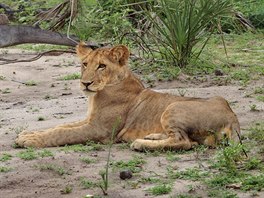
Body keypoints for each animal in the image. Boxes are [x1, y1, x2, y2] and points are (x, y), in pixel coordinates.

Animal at [15, 41, 240, 150]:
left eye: (102, 66)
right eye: (85, 64)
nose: (85, 83)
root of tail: (232, 117)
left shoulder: (100, 129)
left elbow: (62, 133)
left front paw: (29, 140)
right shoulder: (89, 119)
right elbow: (59, 126)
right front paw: (29, 134)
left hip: (173, 107)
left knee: (184, 142)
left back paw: (140, 144)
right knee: (184, 139)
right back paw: (151, 136)